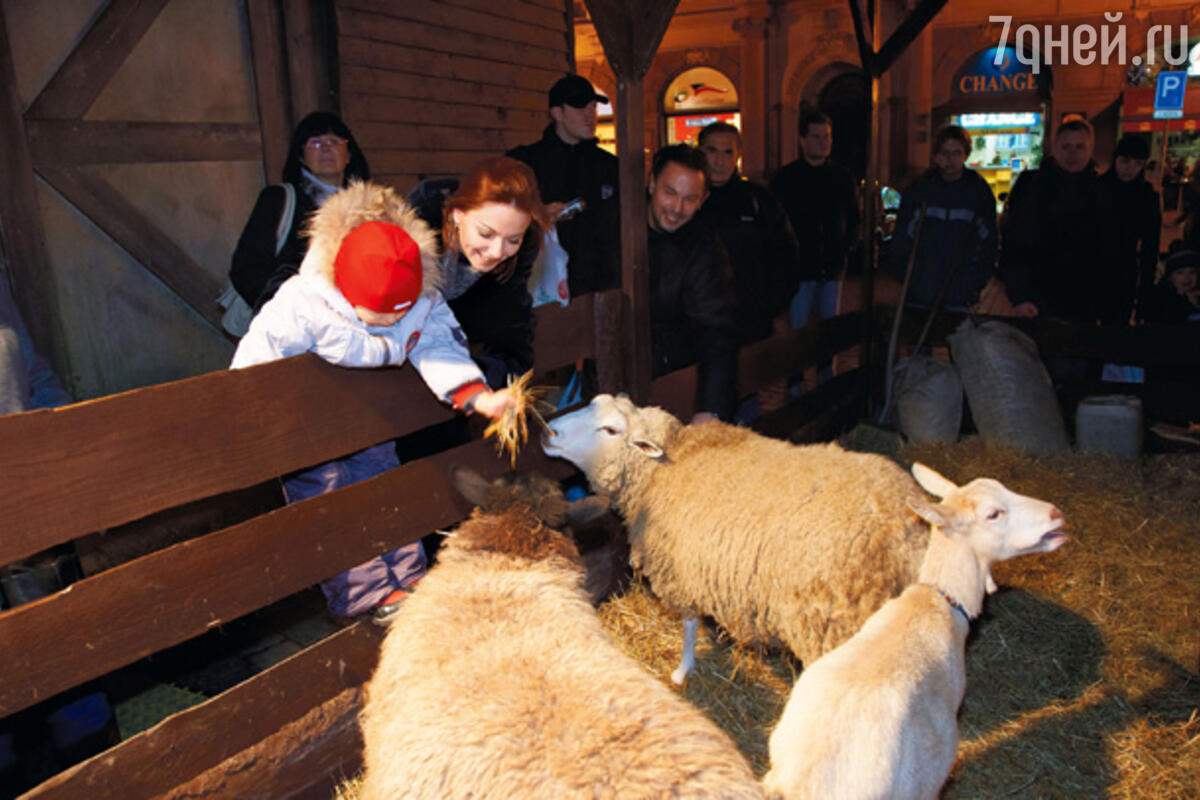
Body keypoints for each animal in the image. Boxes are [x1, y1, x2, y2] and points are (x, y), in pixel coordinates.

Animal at [542, 393, 926, 681]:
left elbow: (689, 625)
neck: (661, 469)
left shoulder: (678, 566)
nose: (547, 432)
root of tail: (906, 533)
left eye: (610, 429)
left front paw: (682, 670)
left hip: (831, 626)